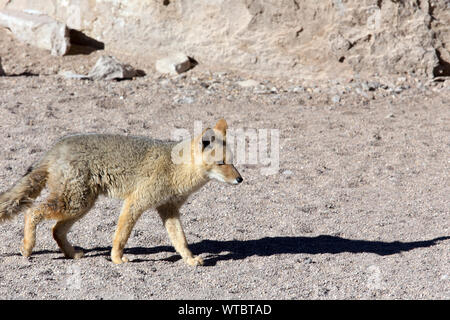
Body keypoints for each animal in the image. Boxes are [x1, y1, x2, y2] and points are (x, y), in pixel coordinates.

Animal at [0, 119, 243, 266]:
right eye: (221, 163)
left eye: (232, 162)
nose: (240, 179)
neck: (176, 168)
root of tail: (56, 145)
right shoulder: (136, 202)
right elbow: (122, 234)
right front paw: (117, 258)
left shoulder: (168, 209)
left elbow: (180, 239)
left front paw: (190, 259)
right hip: (75, 202)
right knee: (32, 212)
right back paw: (27, 247)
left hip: (82, 205)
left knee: (56, 230)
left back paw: (72, 254)